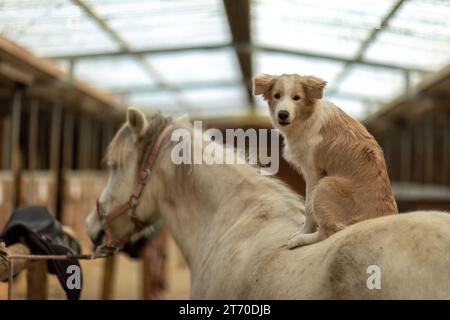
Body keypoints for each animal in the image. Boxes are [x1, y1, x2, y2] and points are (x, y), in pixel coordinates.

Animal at [253, 74, 398, 249]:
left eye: (296, 98)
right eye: (277, 95)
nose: (283, 114)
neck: (306, 118)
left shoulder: (313, 171)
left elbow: (308, 206)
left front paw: (304, 231)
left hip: (326, 184)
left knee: (329, 233)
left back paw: (300, 240)